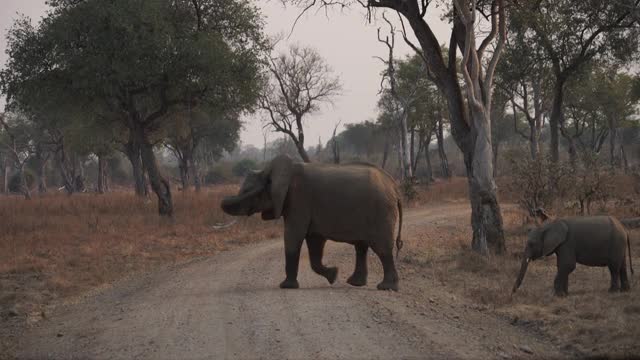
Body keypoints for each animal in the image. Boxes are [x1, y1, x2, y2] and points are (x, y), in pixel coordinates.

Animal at [220, 155, 400, 290]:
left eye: (247, 190)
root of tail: (394, 185)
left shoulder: (299, 199)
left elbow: (293, 236)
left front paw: (286, 286)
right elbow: (314, 243)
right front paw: (333, 275)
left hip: (381, 212)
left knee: (382, 249)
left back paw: (386, 287)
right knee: (361, 247)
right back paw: (355, 283)